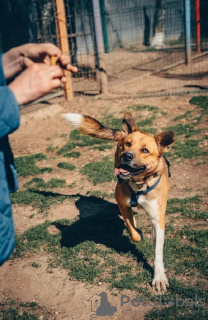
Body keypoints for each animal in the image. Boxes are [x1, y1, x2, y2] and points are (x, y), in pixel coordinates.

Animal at [62, 112, 175, 292]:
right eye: (128, 144)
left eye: (145, 150)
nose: (126, 156)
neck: (138, 184)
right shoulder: (122, 204)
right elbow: (133, 233)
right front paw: (138, 232)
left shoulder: (158, 219)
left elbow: (158, 251)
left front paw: (159, 277)